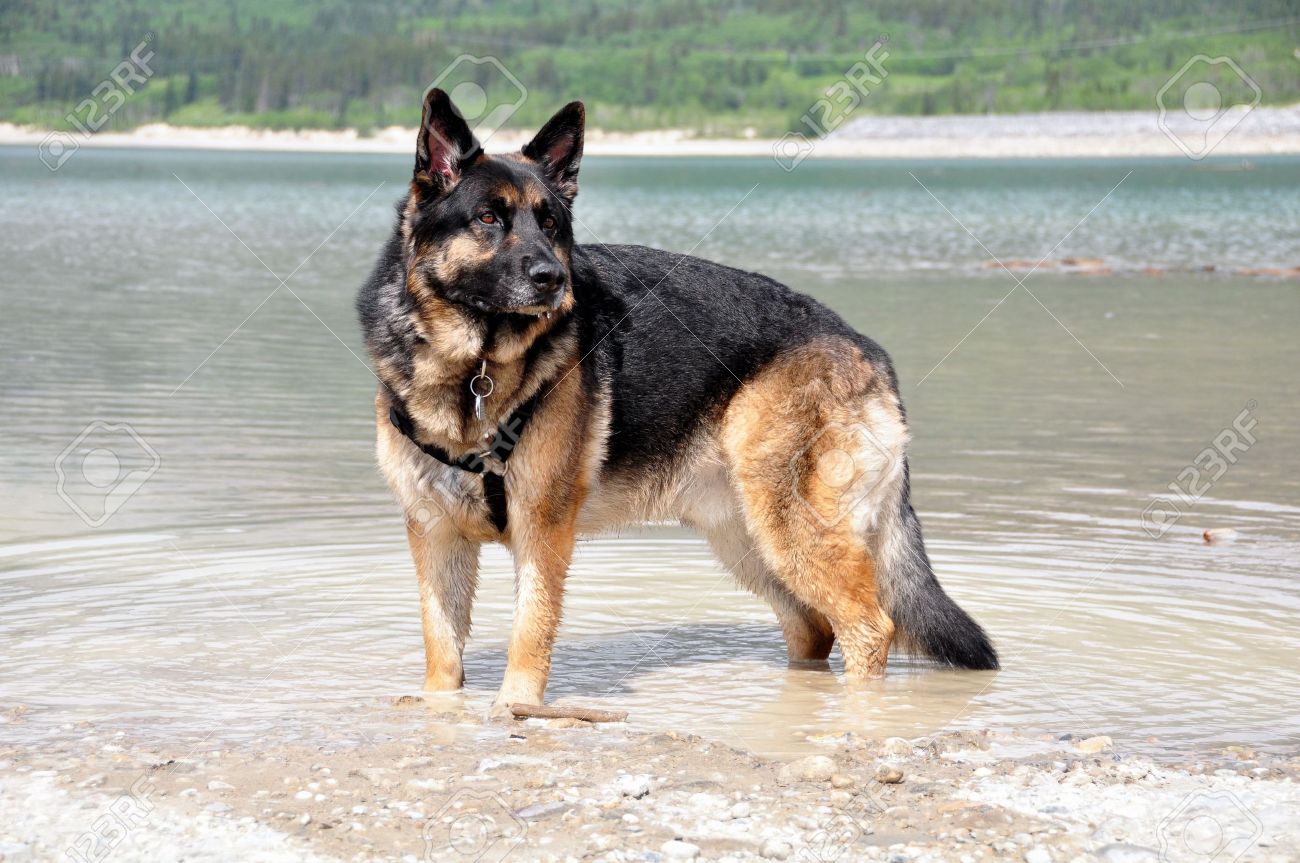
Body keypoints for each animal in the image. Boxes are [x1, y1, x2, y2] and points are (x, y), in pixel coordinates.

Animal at [356, 87, 993, 712]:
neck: (475, 369)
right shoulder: (435, 537)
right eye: (488, 218)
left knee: (869, 626)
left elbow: (529, 637)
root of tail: (867, 348)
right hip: (748, 539)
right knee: (814, 627)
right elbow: (442, 652)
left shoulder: (542, 534)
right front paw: (443, 715)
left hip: (793, 533)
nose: (553, 279)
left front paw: (514, 712)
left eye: (551, 224)